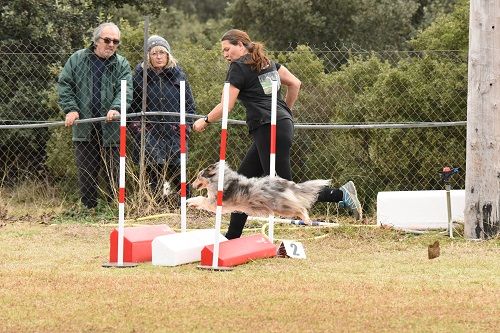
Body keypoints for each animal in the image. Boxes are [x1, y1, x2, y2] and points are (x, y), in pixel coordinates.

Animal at [186, 161, 330, 223]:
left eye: (198, 177)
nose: (191, 185)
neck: (217, 179)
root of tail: (287, 183)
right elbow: (200, 200)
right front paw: (191, 203)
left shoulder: (213, 203)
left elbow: (201, 199)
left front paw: (189, 201)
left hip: (282, 207)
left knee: (301, 209)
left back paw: (307, 220)